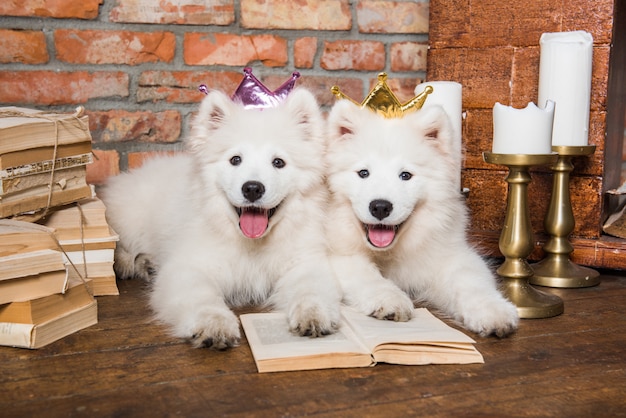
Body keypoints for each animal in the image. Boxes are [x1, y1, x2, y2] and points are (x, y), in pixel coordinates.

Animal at [99, 87, 338, 346]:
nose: (252, 188)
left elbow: (311, 289)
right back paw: (130, 263)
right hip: (129, 219)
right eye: (235, 160)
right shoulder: (189, 267)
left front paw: (314, 314)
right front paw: (213, 324)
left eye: (278, 162)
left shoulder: (304, 263)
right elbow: (201, 296)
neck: (252, 245)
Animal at [322, 102, 516, 340]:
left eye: (405, 175)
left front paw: (493, 311)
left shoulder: (451, 255)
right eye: (363, 173)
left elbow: (471, 281)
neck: (389, 252)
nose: (380, 207)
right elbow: (368, 276)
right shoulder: (339, 256)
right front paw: (391, 300)